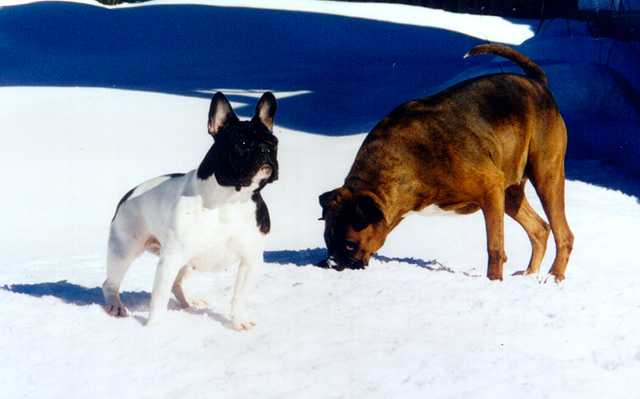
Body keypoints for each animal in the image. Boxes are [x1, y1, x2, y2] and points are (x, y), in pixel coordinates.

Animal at [102, 93, 278, 332]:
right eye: (242, 143)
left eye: (274, 143)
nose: (266, 150)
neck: (230, 199)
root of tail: (129, 193)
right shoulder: (170, 259)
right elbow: (159, 298)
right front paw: (154, 327)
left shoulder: (250, 259)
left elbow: (239, 296)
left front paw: (238, 320)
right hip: (124, 250)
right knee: (111, 283)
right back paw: (115, 306)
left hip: (188, 261)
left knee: (177, 283)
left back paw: (189, 301)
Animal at [320, 44, 576, 284]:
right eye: (327, 239)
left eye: (350, 244)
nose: (330, 264)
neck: (409, 160)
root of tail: (537, 83)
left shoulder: (491, 190)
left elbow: (494, 247)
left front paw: (493, 282)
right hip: (511, 193)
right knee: (540, 229)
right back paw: (530, 275)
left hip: (545, 177)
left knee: (564, 235)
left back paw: (554, 277)